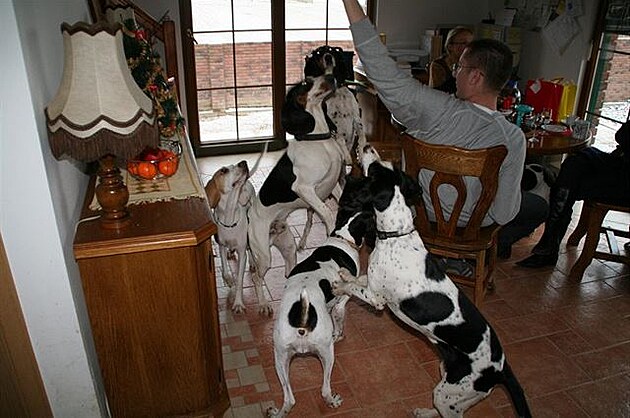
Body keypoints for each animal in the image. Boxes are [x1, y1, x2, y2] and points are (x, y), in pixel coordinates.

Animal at [266, 174, 376, 418]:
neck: (341, 238)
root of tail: (301, 318)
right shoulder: (342, 302)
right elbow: (341, 316)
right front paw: (339, 334)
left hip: (280, 358)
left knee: (289, 399)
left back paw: (278, 411)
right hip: (326, 353)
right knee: (324, 389)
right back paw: (332, 400)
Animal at [330, 146, 532, 418]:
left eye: (374, 169)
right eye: (388, 166)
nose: (367, 147)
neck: (397, 235)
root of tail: (501, 367)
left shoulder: (376, 298)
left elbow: (355, 287)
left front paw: (340, 284)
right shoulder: (371, 281)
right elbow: (358, 278)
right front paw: (344, 274)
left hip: (449, 392)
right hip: (448, 379)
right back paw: (424, 412)